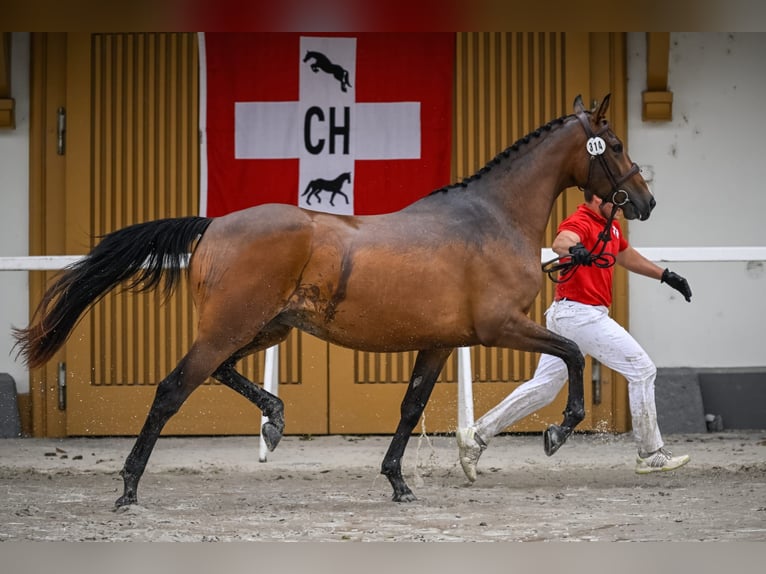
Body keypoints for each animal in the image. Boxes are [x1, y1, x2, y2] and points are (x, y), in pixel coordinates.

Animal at [12, 94, 656, 508]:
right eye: (615, 144)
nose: (645, 201)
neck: (491, 218)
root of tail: (213, 224)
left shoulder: (440, 343)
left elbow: (410, 407)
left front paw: (397, 482)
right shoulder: (500, 326)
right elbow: (573, 353)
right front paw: (558, 433)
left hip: (263, 328)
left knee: (219, 372)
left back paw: (274, 418)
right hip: (230, 328)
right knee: (173, 388)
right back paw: (128, 488)